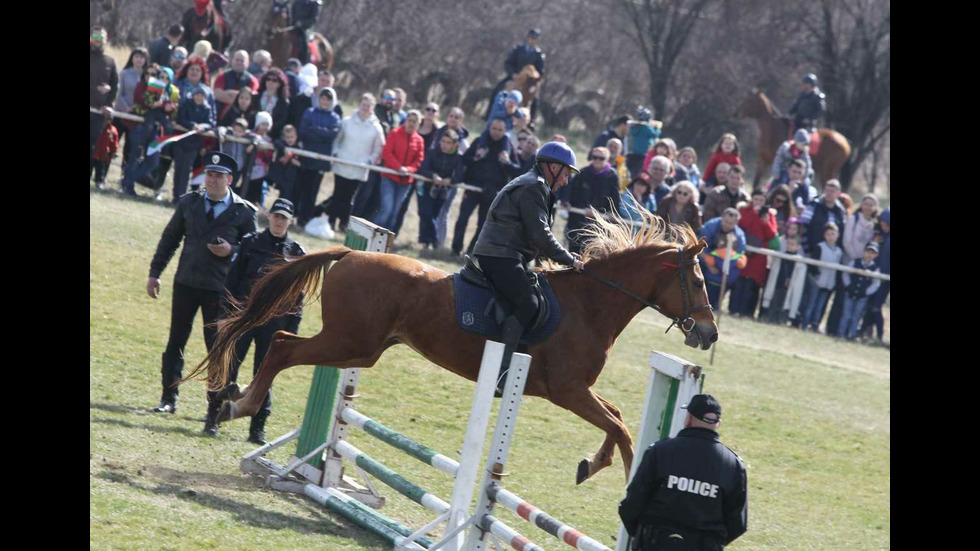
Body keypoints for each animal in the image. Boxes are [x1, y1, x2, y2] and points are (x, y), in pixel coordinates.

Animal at [186, 209, 720, 486]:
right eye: (696, 281)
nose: (709, 333)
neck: (590, 303)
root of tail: (352, 251)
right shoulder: (568, 391)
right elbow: (621, 427)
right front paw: (625, 476)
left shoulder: (576, 391)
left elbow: (617, 417)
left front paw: (591, 464)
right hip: (349, 340)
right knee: (280, 347)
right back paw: (238, 405)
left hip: (360, 350)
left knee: (281, 342)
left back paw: (237, 402)